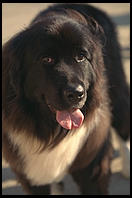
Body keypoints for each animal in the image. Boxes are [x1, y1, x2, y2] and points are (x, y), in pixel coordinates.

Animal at [2, 3, 130, 195]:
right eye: (47, 59)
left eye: (81, 57)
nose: (76, 93)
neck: (53, 132)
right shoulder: (32, 174)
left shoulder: (92, 165)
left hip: (117, 91)